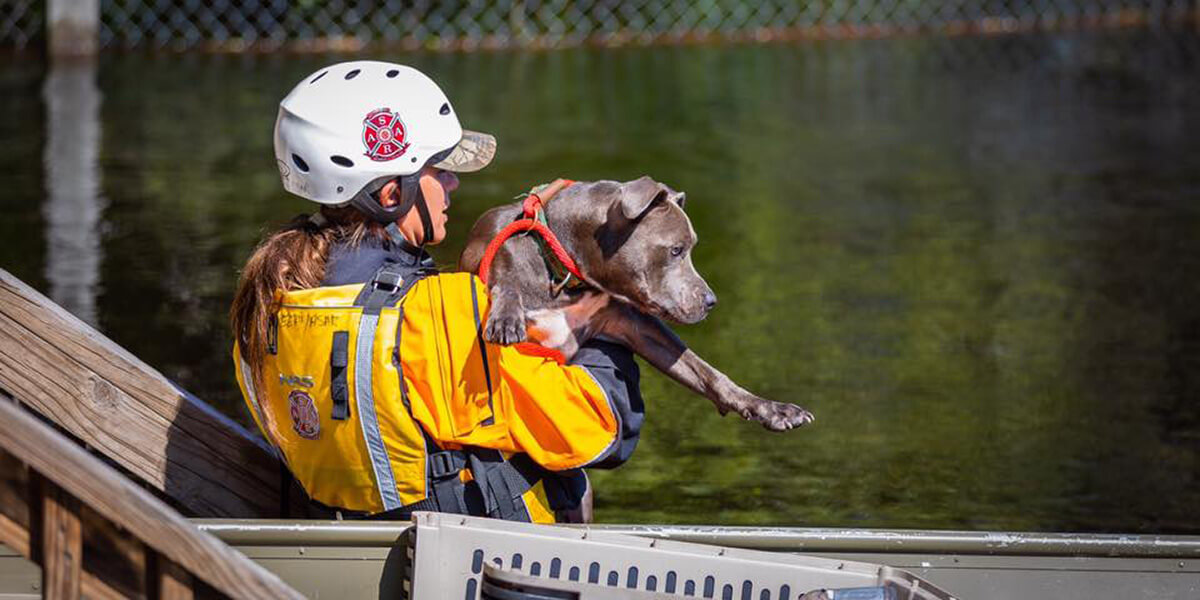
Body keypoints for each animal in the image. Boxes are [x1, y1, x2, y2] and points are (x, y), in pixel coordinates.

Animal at [460, 175, 816, 432]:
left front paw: (771, 409)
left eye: (690, 248)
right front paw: (506, 317)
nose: (711, 301)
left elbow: (704, 370)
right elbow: (506, 279)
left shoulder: (632, 324)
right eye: (676, 250)